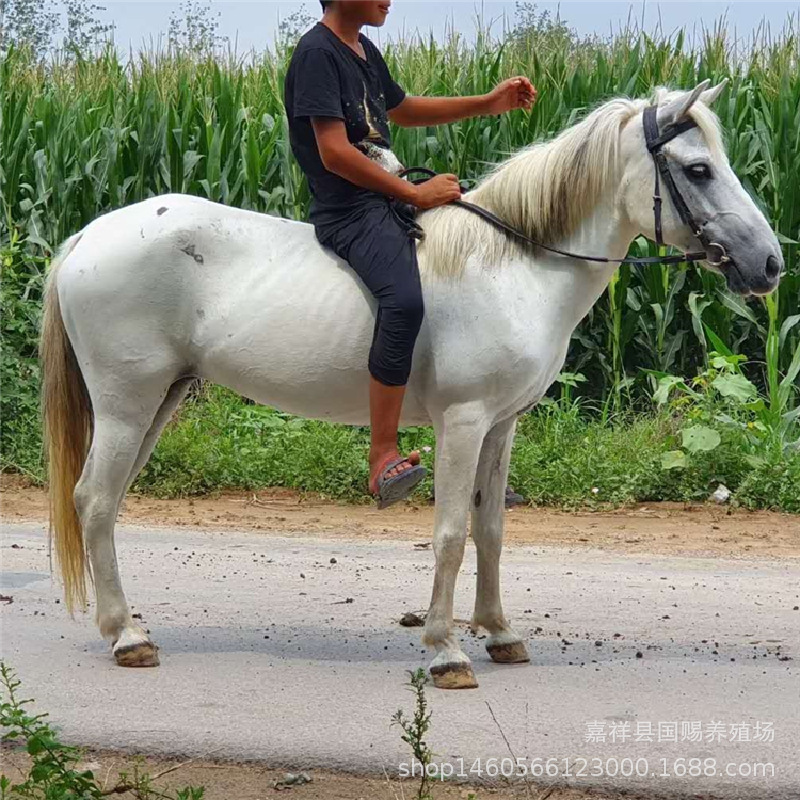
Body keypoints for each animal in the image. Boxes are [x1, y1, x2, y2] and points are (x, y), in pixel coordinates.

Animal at [40, 81, 782, 689]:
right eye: (698, 169)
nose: (770, 264)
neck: (515, 262)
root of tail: (84, 238)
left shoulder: (501, 424)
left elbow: (491, 529)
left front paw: (500, 633)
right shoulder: (464, 420)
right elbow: (451, 532)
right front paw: (447, 650)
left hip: (156, 404)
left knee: (104, 504)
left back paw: (126, 623)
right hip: (127, 405)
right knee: (95, 500)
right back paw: (127, 637)